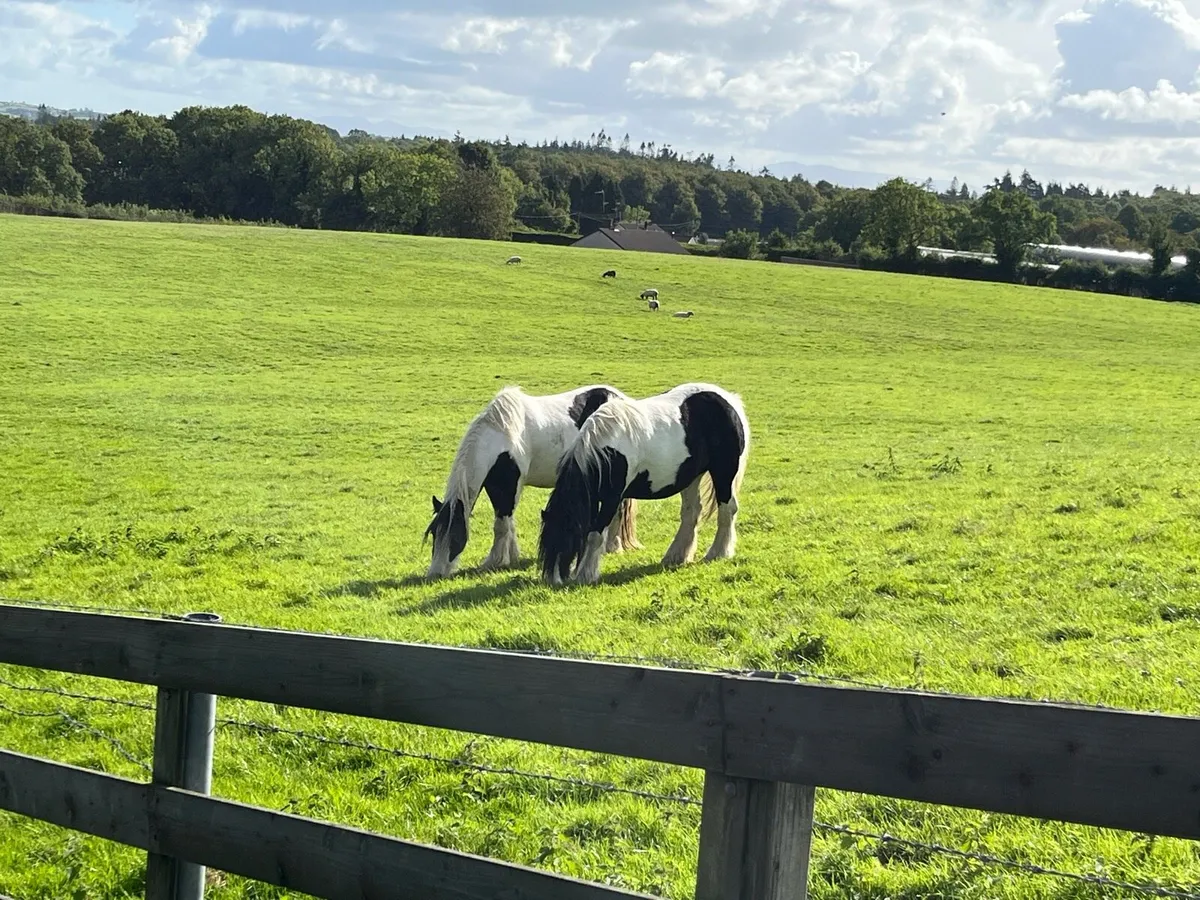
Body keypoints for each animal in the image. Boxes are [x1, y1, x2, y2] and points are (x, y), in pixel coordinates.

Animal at [425, 385, 641, 579]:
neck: (501, 434)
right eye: (434, 534)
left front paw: (495, 561)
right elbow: (507, 523)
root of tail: (620, 398)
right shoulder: (494, 486)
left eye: (455, 536)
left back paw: (613, 546)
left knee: (618, 511)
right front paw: (511, 556)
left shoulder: (510, 486)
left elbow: (501, 525)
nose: (435, 574)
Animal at [537, 382, 750, 586]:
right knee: (692, 512)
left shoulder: (611, 499)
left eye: (566, 537)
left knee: (728, 509)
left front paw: (585, 575)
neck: (607, 450)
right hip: (692, 477)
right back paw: (676, 556)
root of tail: (729, 400)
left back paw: (718, 553)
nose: (553, 581)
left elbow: (595, 535)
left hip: (723, 472)